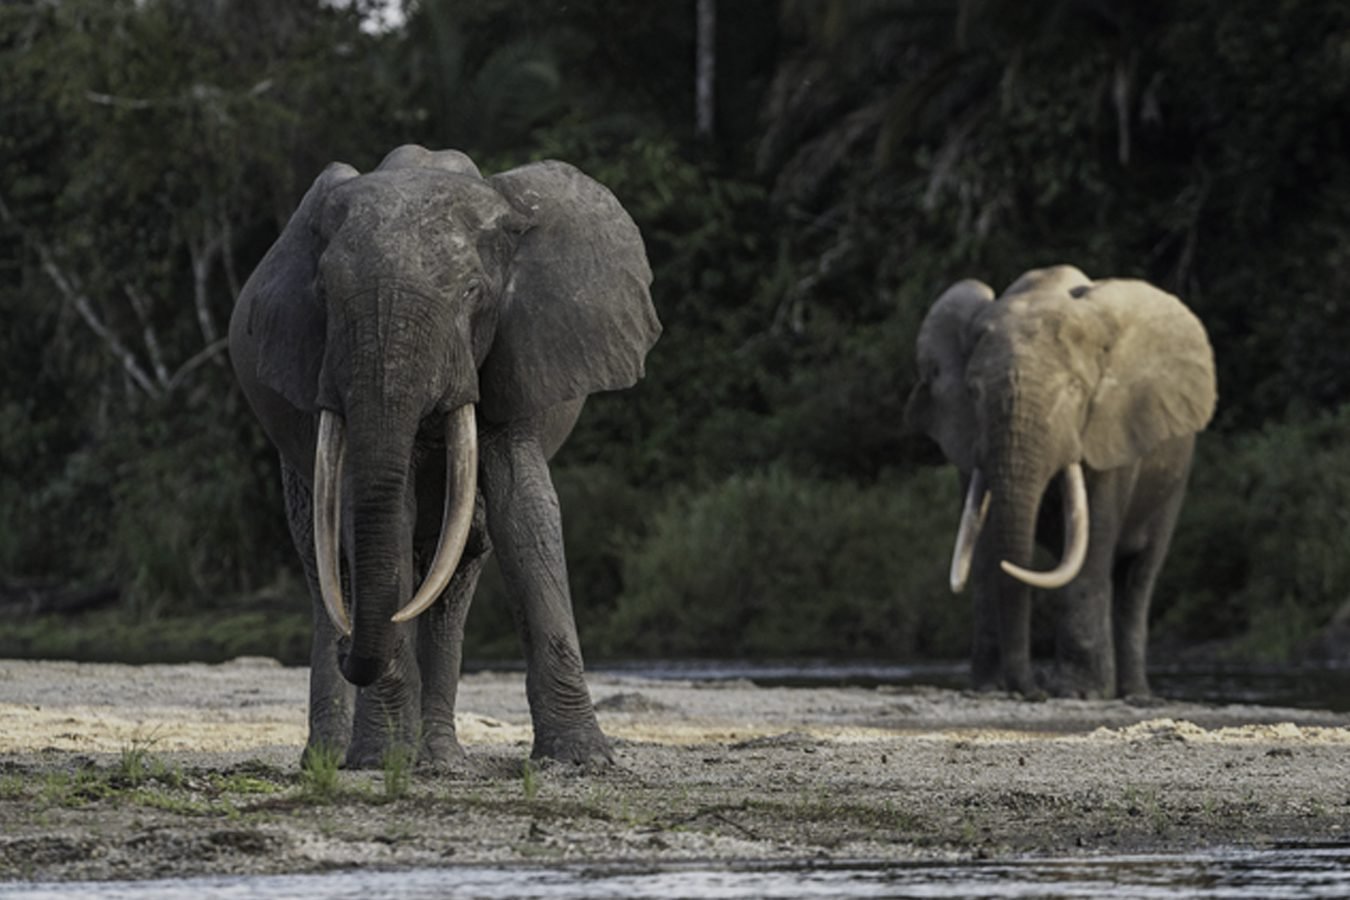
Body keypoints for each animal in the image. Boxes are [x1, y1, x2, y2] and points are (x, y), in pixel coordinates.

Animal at [228, 144, 660, 769]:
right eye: (325, 297)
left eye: (472, 293)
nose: (353, 647)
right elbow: (374, 514)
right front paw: (379, 760)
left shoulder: (514, 353)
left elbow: (524, 509)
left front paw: (581, 760)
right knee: (324, 559)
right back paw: (335, 757)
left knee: (458, 567)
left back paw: (438, 759)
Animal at [904, 265, 1215, 699]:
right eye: (973, 391)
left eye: (1074, 390)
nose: (1030, 689)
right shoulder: (967, 437)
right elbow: (982, 549)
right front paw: (988, 688)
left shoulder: (1111, 431)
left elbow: (1094, 539)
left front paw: (1078, 692)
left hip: (1174, 478)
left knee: (1139, 577)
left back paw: (1134, 694)